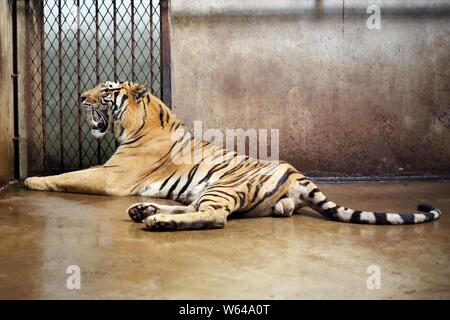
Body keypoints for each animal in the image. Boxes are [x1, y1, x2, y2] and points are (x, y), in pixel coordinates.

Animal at [22, 80, 442, 230]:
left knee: (215, 217)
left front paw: (31, 179)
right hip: (218, 191)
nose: (80, 96)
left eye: (106, 90)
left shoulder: (110, 176)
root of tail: (297, 173)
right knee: (202, 208)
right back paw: (146, 210)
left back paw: (158, 220)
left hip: (223, 186)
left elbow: (67, 176)